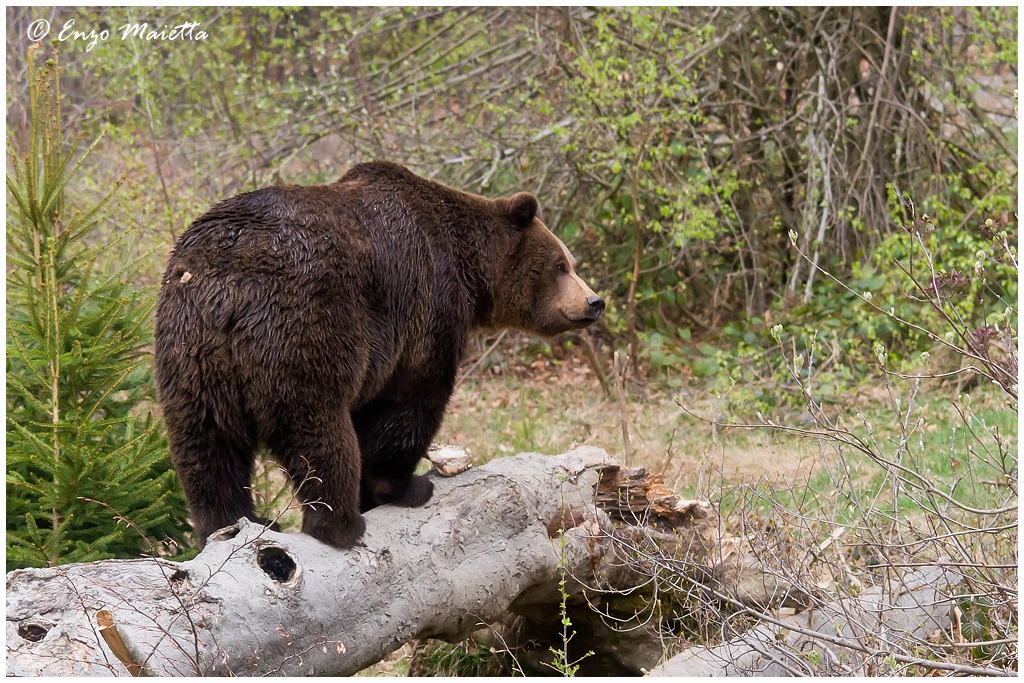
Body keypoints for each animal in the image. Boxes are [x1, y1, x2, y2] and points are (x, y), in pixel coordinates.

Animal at [153, 161, 604, 549]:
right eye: (561, 265)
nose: (594, 301)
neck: (469, 270)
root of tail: (231, 284)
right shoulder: (426, 303)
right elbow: (411, 399)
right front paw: (406, 485)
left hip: (189, 354)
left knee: (206, 447)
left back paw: (235, 523)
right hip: (303, 328)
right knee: (321, 429)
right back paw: (340, 524)